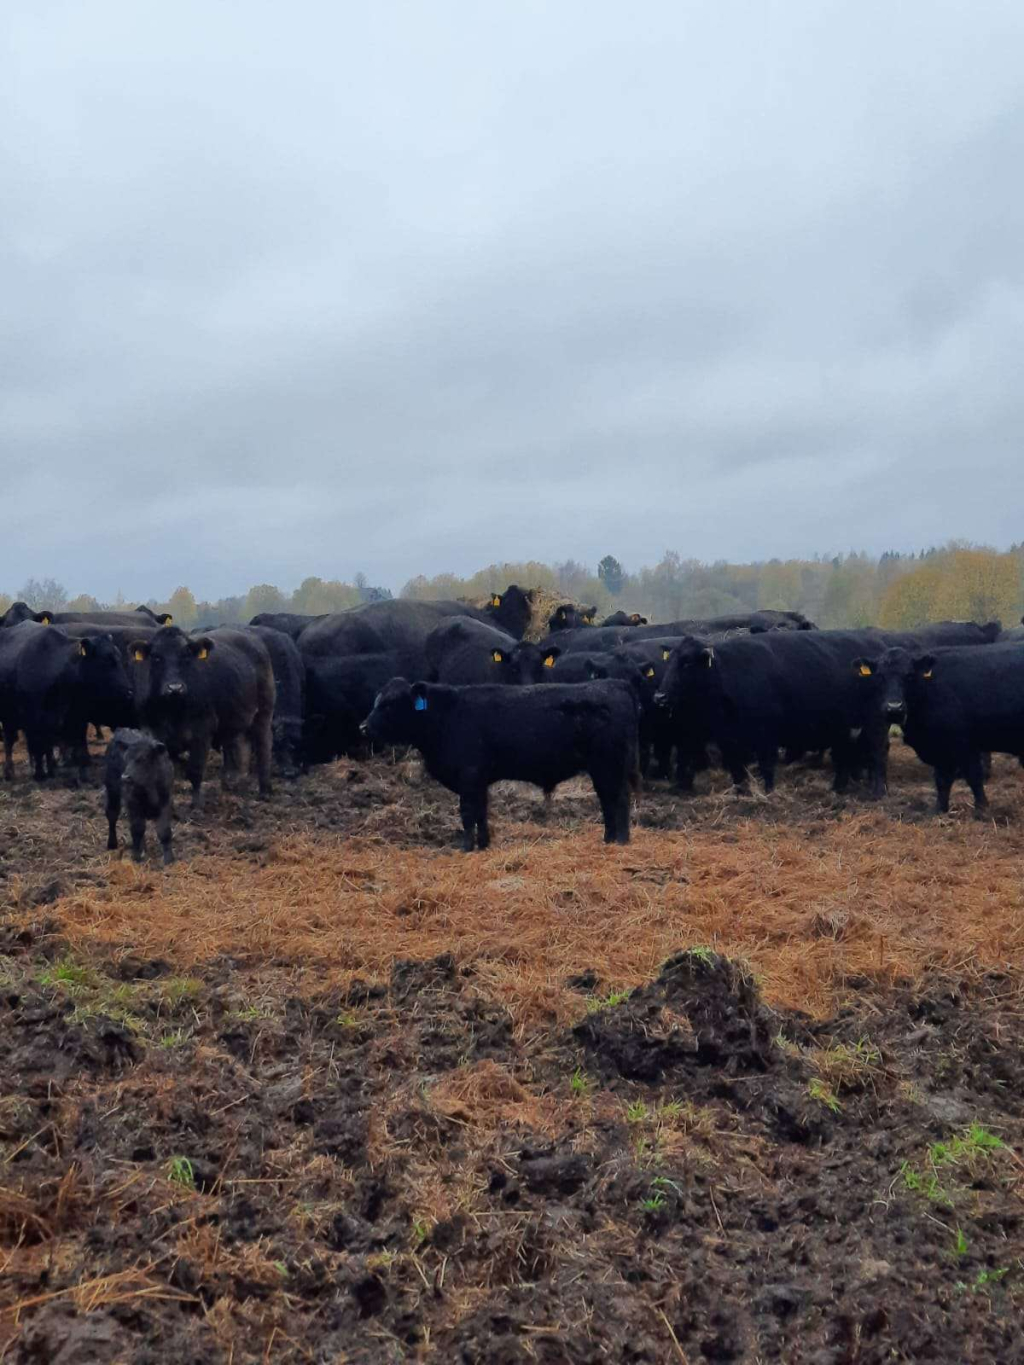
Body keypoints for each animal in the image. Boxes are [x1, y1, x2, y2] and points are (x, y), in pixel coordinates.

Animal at [0, 623, 134, 781]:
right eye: (106, 660)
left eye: (119, 657)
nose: (129, 692)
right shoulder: (33, 720)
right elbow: (38, 748)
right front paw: (39, 774)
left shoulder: (77, 719)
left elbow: (79, 749)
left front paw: (82, 776)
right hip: (8, 717)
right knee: (9, 741)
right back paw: (9, 772)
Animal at [104, 729, 175, 864]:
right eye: (126, 758)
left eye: (144, 758)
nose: (125, 777)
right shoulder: (133, 803)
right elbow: (137, 829)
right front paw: (136, 856)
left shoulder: (165, 802)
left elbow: (164, 830)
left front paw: (169, 859)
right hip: (112, 791)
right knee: (112, 815)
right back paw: (112, 844)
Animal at [129, 626, 275, 806]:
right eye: (156, 657)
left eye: (186, 656)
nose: (175, 688)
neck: (172, 710)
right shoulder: (152, 731)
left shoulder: (203, 730)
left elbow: (195, 770)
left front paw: (197, 804)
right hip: (235, 721)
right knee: (240, 747)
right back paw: (234, 785)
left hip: (263, 713)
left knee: (264, 747)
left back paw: (264, 791)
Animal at [361, 679, 640, 850]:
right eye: (376, 701)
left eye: (389, 705)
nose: (363, 727)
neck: (445, 717)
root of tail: (614, 683)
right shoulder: (479, 780)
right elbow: (481, 812)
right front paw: (483, 844)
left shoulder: (469, 776)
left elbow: (468, 813)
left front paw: (466, 848)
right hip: (603, 769)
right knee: (608, 802)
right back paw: (608, 839)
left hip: (609, 765)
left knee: (619, 800)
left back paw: (621, 841)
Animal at [851, 641, 1024, 810]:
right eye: (880, 676)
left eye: (909, 675)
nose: (894, 708)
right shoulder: (940, 747)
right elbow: (942, 780)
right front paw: (939, 809)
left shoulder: (965, 744)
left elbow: (973, 776)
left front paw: (982, 808)